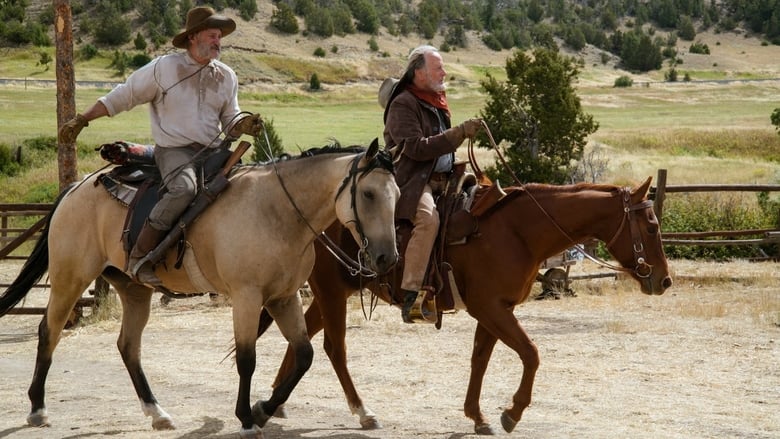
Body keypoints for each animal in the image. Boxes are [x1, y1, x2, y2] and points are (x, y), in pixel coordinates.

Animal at [0, 141, 400, 439]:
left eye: (396, 193)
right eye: (367, 193)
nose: (387, 257)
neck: (277, 211)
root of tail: (76, 187)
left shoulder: (283, 298)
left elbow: (304, 356)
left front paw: (264, 409)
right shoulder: (247, 298)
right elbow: (247, 359)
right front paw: (247, 418)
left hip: (133, 290)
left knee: (128, 346)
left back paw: (157, 412)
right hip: (70, 278)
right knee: (49, 331)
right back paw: (37, 408)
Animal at [256, 176, 672, 436]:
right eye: (651, 227)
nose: (664, 280)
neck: (519, 231)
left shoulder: (496, 310)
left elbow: (480, 359)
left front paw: (477, 416)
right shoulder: (490, 309)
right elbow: (531, 353)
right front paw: (511, 413)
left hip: (333, 291)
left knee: (304, 337)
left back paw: (275, 402)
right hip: (329, 290)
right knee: (334, 348)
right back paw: (362, 412)